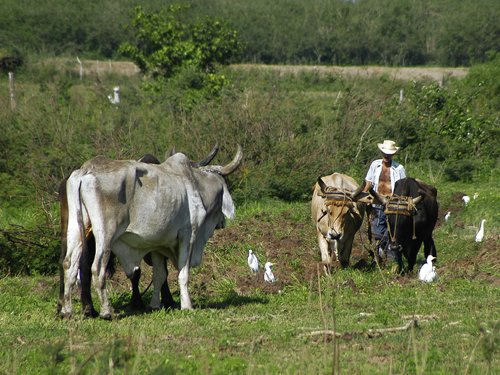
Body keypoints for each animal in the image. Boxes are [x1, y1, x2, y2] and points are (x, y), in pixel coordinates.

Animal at [60, 145, 242, 318]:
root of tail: (86, 170)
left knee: (69, 264)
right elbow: (183, 274)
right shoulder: (188, 235)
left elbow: (159, 275)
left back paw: (66, 311)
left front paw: (155, 305)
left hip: (76, 226)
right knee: (97, 268)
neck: (196, 185)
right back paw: (106, 312)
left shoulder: (157, 245)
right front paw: (186, 305)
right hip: (106, 233)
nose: (222, 222)